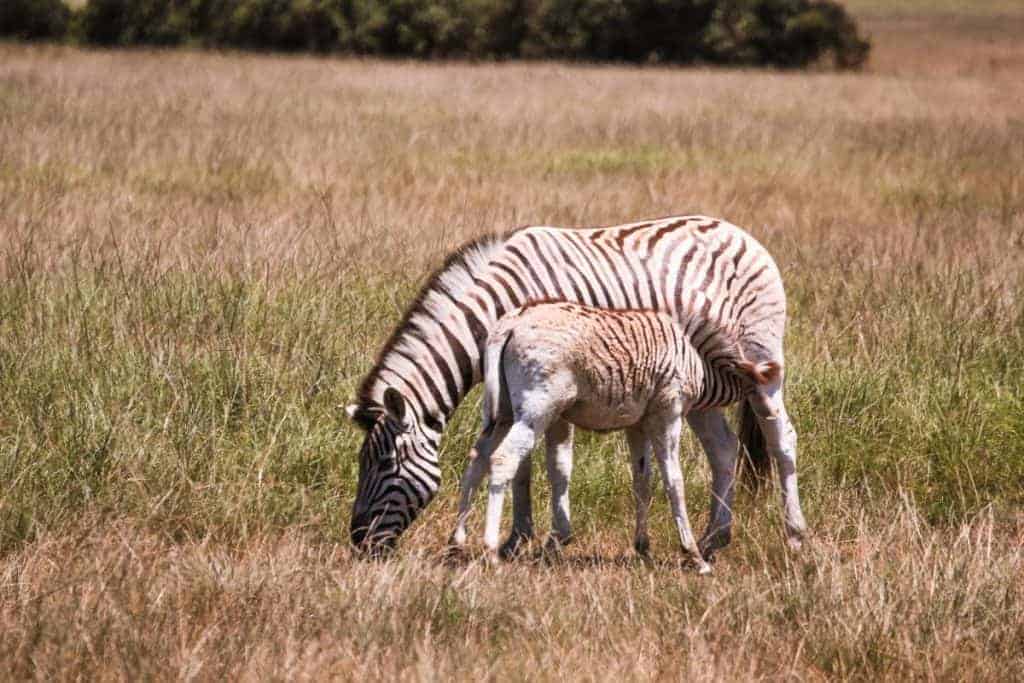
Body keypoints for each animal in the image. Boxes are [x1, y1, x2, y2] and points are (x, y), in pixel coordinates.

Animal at [450, 301, 782, 573]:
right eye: (764, 391)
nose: (774, 417)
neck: (695, 357)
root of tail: (510, 323)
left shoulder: (638, 423)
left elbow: (642, 482)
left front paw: (643, 549)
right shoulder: (667, 414)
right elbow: (674, 483)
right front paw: (694, 556)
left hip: (501, 412)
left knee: (477, 458)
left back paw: (457, 542)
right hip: (537, 409)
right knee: (503, 458)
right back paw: (490, 550)